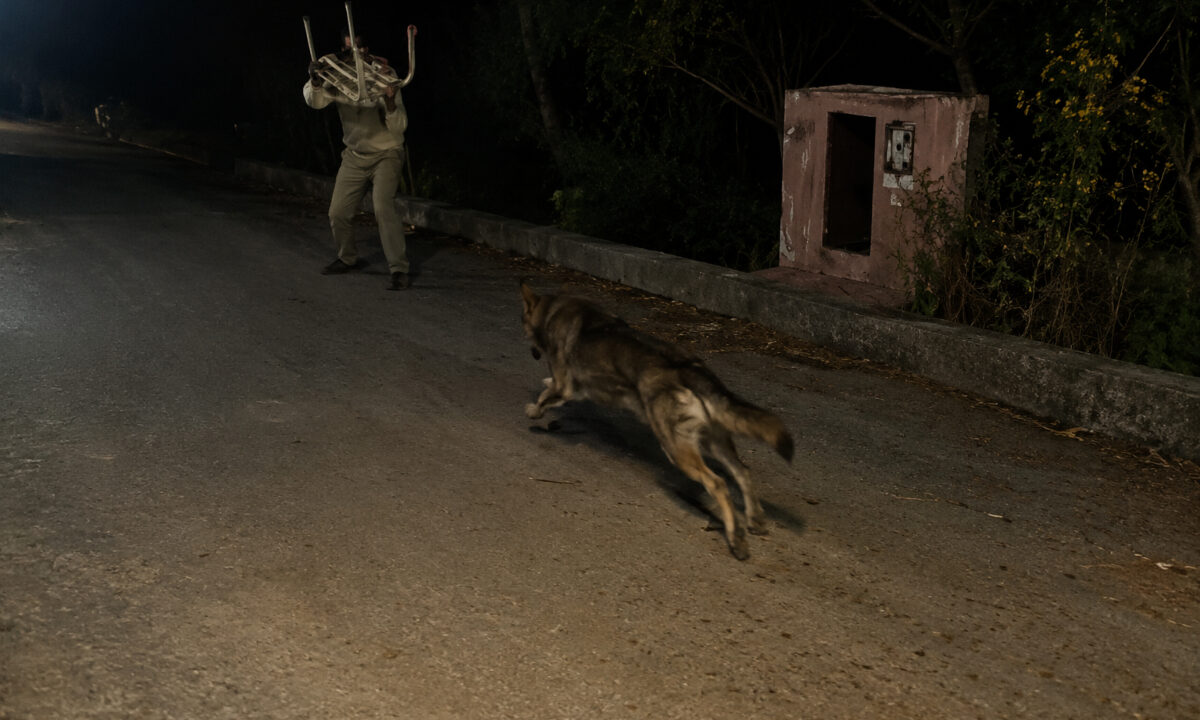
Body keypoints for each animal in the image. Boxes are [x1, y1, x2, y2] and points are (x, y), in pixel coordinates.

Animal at [520, 281, 794, 560]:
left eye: (523, 321)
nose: (532, 351)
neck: (554, 310)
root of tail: (688, 369)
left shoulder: (564, 386)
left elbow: (545, 398)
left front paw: (534, 411)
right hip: (713, 442)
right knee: (742, 471)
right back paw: (754, 519)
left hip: (677, 450)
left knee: (718, 483)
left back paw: (736, 538)